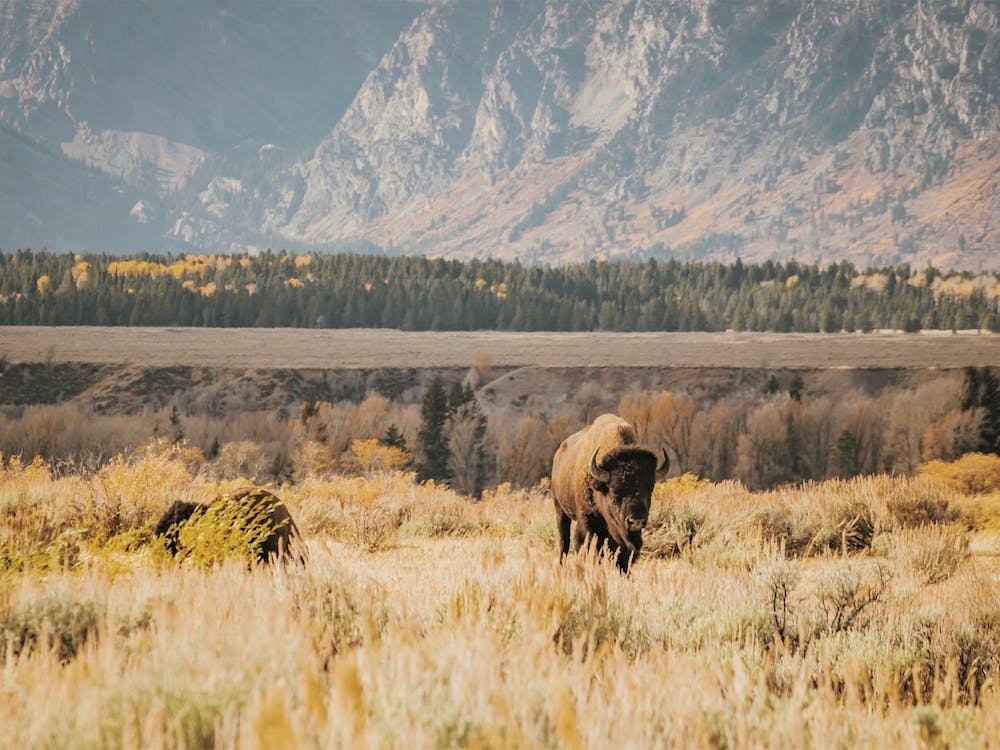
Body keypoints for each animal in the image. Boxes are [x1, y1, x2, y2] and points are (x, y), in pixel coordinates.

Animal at [551, 413, 669, 572]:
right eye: (614, 490)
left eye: (650, 488)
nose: (636, 521)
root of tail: (558, 455)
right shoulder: (587, 521)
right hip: (560, 509)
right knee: (564, 541)